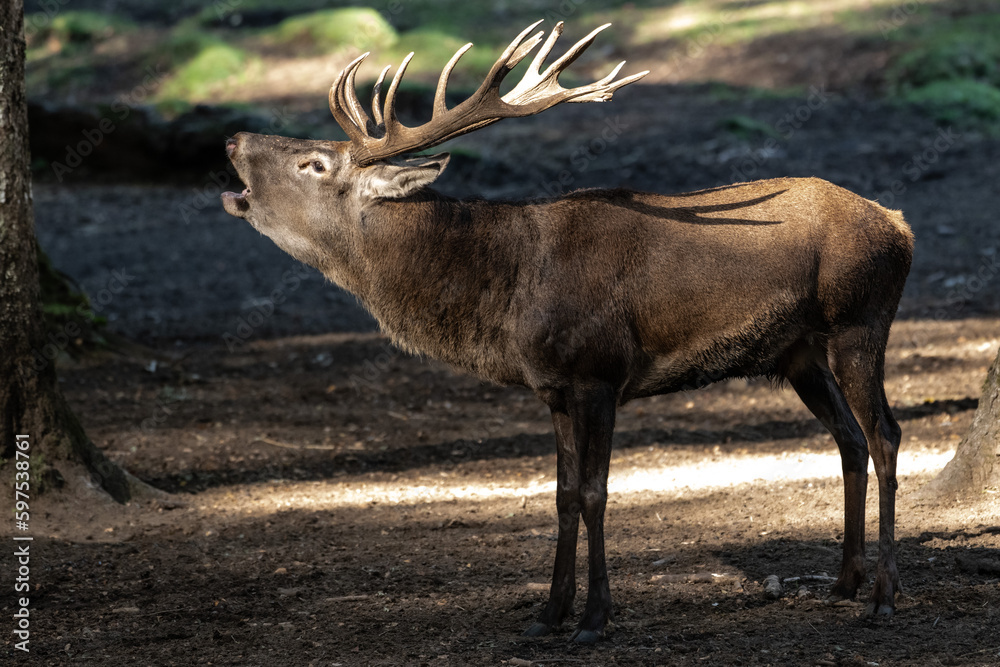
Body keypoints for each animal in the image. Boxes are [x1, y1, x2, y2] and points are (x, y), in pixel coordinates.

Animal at [221, 20, 913, 643]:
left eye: (314, 163)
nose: (231, 138)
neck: (507, 298)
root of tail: (899, 224)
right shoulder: (552, 388)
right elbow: (561, 495)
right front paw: (547, 614)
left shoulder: (599, 373)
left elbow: (596, 492)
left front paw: (595, 619)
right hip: (799, 353)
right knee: (849, 438)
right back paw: (845, 581)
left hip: (861, 321)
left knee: (884, 434)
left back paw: (883, 596)